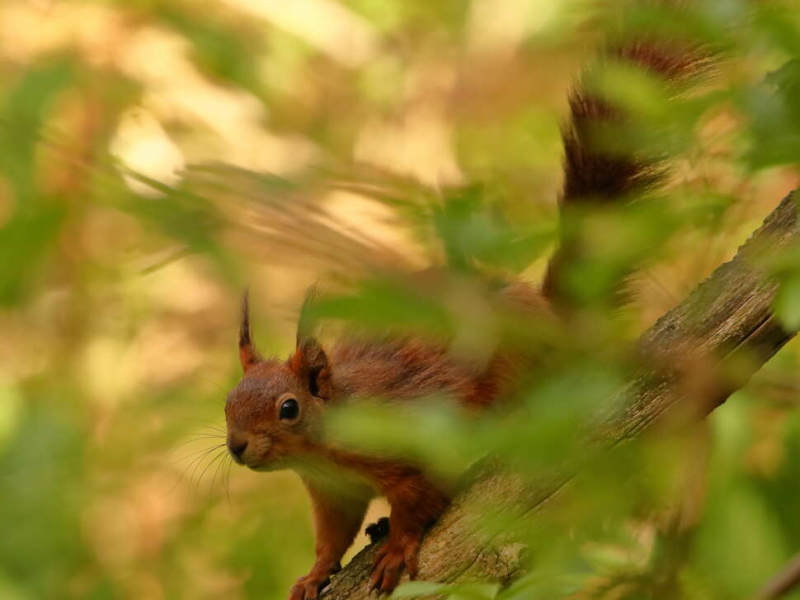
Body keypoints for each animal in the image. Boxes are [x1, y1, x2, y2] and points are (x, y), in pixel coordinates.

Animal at [222, 17, 708, 600]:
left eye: (289, 408)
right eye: (227, 403)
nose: (237, 447)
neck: (325, 447)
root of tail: (554, 324)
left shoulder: (413, 441)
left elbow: (417, 503)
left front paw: (398, 547)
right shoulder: (332, 493)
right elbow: (330, 539)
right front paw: (315, 574)